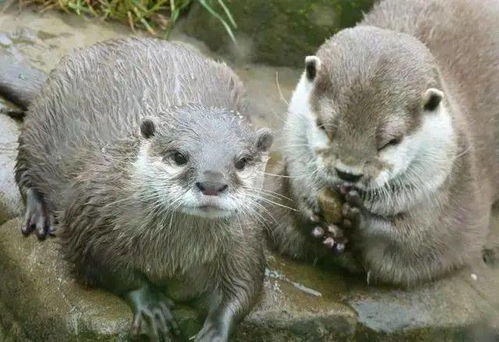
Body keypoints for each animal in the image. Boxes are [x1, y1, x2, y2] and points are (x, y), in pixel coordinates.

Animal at [2, 38, 274, 342]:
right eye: (179, 156)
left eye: (242, 161)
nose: (212, 183)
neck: (174, 255)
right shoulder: (90, 215)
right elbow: (107, 269)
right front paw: (151, 305)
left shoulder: (246, 243)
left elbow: (245, 288)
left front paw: (217, 328)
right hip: (39, 126)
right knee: (25, 171)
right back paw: (39, 214)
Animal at [268, 0, 499, 284]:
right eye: (325, 126)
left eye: (390, 141)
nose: (348, 173)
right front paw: (309, 210)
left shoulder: (451, 203)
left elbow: (412, 245)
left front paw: (361, 222)